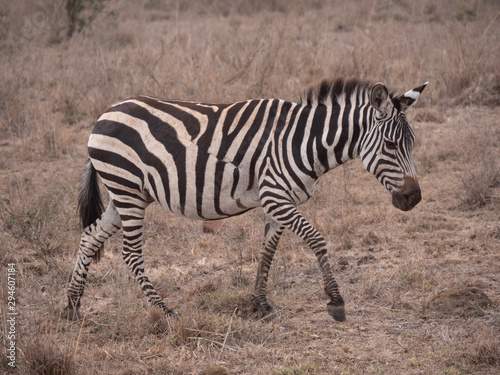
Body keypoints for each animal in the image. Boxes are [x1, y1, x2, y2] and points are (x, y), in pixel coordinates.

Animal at [64, 77, 428, 324]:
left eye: (412, 144)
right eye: (392, 145)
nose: (414, 198)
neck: (304, 142)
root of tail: (105, 113)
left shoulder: (279, 201)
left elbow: (267, 252)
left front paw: (261, 305)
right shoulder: (276, 195)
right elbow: (317, 240)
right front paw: (336, 301)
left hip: (127, 193)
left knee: (90, 236)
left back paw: (72, 306)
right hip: (127, 190)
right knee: (130, 252)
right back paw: (165, 311)